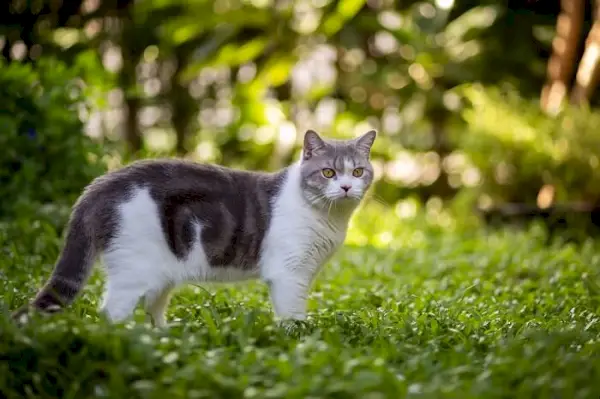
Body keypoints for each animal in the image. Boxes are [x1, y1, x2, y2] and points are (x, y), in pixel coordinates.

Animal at [12, 130, 376, 326]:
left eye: (358, 172)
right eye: (328, 173)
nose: (346, 187)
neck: (330, 219)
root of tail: (100, 184)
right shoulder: (289, 274)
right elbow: (292, 314)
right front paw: (298, 338)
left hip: (161, 272)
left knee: (152, 309)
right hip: (134, 268)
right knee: (112, 313)